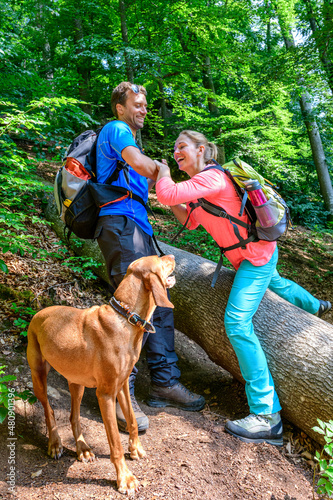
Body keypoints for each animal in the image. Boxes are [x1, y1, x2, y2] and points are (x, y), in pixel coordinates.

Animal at [27, 256, 175, 494]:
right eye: (160, 261)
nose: (172, 257)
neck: (127, 317)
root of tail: (39, 312)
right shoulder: (105, 394)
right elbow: (115, 442)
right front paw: (125, 478)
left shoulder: (122, 386)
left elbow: (132, 421)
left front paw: (135, 448)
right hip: (38, 375)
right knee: (49, 411)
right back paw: (55, 443)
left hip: (77, 383)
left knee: (74, 416)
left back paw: (83, 448)